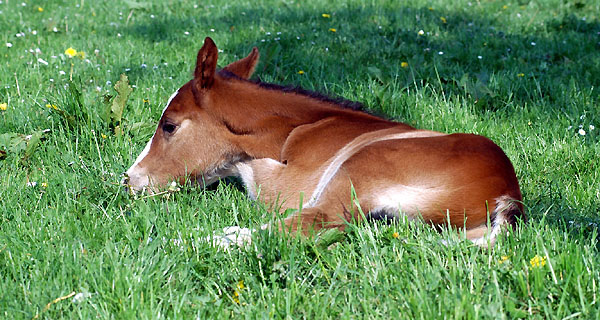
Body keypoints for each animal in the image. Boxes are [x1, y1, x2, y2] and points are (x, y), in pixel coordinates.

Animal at [124, 38, 524, 248]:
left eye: (169, 126)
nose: (129, 179)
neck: (296, 130)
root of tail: (506, 194)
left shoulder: (287, 186)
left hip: (358, 167)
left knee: (311, 223)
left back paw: (195, 241)